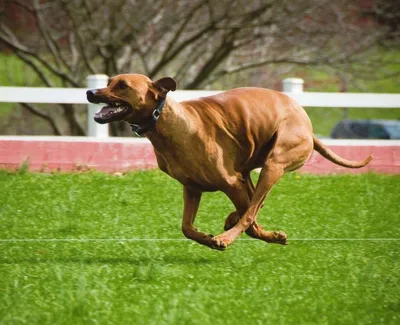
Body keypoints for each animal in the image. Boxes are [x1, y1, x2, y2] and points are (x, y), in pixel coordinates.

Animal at [86, 74, 372, 251]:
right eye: (109, 81)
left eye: (122, 85)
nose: (90, 92)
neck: (168, 124)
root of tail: (309, 127)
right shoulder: (192, 188)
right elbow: (186, 227)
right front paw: (206, 236)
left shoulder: (230, 182)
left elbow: (251, 222)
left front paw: (263, 236)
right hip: (252, 169)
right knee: (255, 201)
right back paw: (231, 220)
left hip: (274, 164)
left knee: (253, 208)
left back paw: (230, 233)